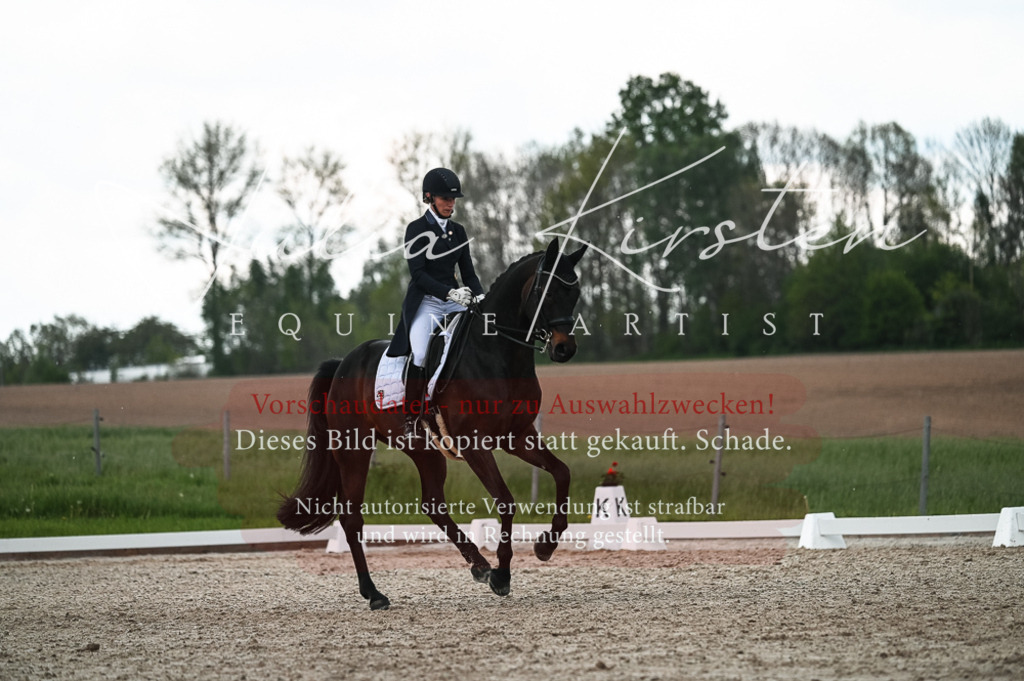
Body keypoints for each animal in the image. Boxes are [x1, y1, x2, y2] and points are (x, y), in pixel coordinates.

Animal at [277, 238, 588, 610]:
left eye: (575, 292)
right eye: (547, 290)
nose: (564, 349)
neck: (496, 352)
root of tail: (342, 364)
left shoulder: (517, 436)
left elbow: (562, 473)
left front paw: (544, 546)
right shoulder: (475, 444)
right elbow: (506, 500)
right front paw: (503, 575)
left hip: (424, 450)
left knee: (433, 504)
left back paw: (479, 565)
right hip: (354, 449)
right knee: (352, 519)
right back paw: (375, 594)